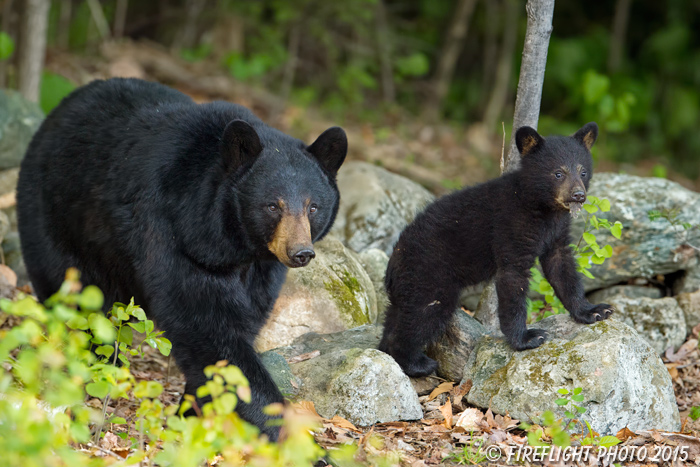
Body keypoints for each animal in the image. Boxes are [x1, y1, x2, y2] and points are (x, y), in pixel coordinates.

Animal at [20, 78, 348, 440]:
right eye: (272, 206)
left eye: (312, 206)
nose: (300, 252)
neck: (233, 244)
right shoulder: (177, 239)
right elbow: (206, 327)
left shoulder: (261, 269)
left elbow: (243, 323)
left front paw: (191, 412)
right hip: (55, 218)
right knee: (75, 297)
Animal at [378, 123, 612, 376]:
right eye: (558, 173)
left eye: (583, 172)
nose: (578, 195)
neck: (543, 208)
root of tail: (393, 265)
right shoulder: (511, 227)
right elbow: (513, 279)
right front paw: (526, 338)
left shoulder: (556, 235)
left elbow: (562, 269)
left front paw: (593, 310)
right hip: (428, 274)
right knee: (424, 313)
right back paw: (417, 363)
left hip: (408, 286)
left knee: (397, 316)